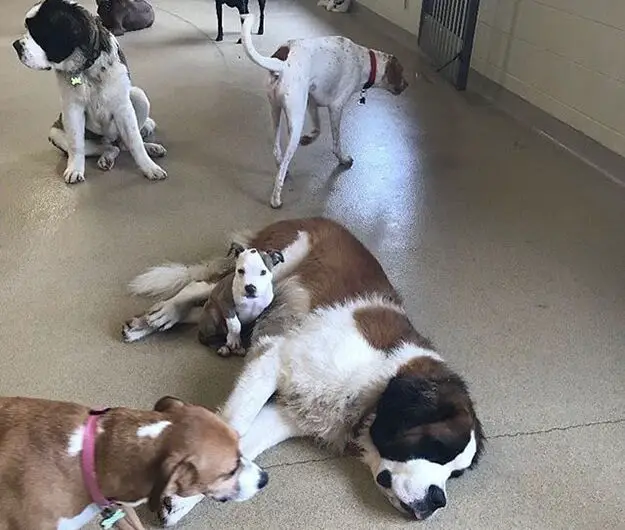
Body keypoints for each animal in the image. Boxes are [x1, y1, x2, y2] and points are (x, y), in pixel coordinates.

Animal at [12, 0, 168, 184]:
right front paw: (75, 169)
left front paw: (149, 167)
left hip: (138, 96)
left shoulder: (123, 108)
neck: (87, 67)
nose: (15, 45)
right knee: (110, 147)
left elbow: (134, 141)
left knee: (124, 144)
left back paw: (150, 148)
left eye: (38, 32)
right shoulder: (72, 110)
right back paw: (106, 157)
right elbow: (76, 144)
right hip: (56, 132)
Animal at [120, 217, 482, 520]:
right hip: (262, 273)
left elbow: (243, 443)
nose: (438, 501)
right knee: (201, 287)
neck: (379, 381)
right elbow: (234, 427)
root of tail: (311, 217)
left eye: (455, 473)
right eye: (436, 447)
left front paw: (182, 500)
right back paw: (161, 314)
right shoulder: (273, 359)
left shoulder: (288, 413)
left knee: (209, 308)